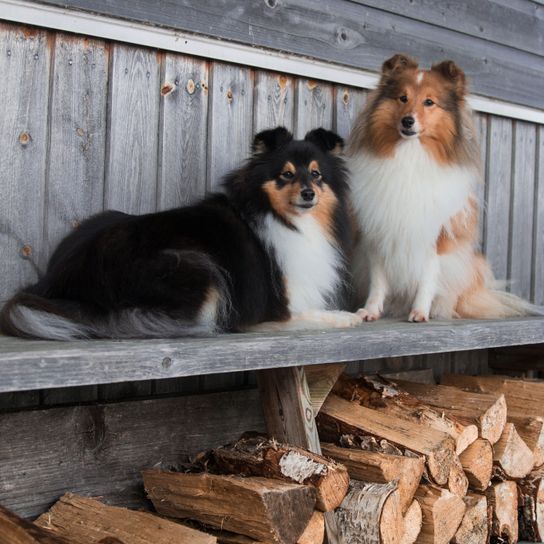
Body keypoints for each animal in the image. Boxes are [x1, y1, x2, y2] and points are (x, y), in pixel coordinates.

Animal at [346, 53, 536, 320]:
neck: (411, 156)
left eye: (429, 102)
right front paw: (370, 311)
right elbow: (378, 280)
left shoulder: (437, 235)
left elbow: (428, 277)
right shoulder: (379, 232)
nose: (407, 121)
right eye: (402, 98)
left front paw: (420, 312)